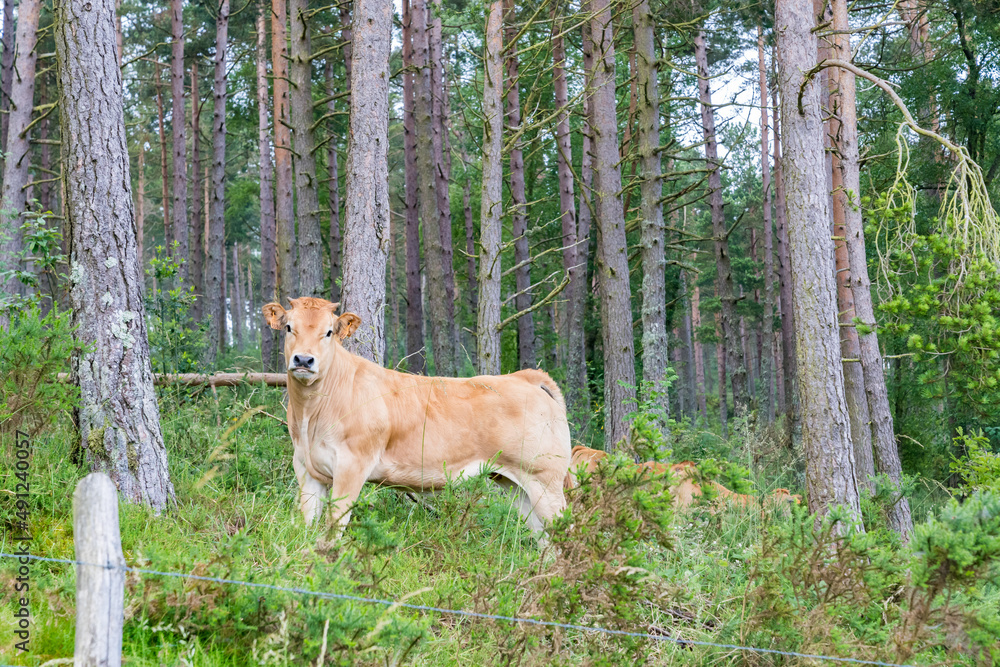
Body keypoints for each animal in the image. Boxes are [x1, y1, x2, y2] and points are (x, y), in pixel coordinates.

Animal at [262, 298, 572, 536]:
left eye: (328, 332)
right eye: (289, 327)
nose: (304, 360)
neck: (309, 418)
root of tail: (524, 377)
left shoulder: (352, 465)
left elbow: (334, 525)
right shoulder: (305, 466)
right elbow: (308, 524)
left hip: (546, 479)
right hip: (517, 484)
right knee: (544, 537)